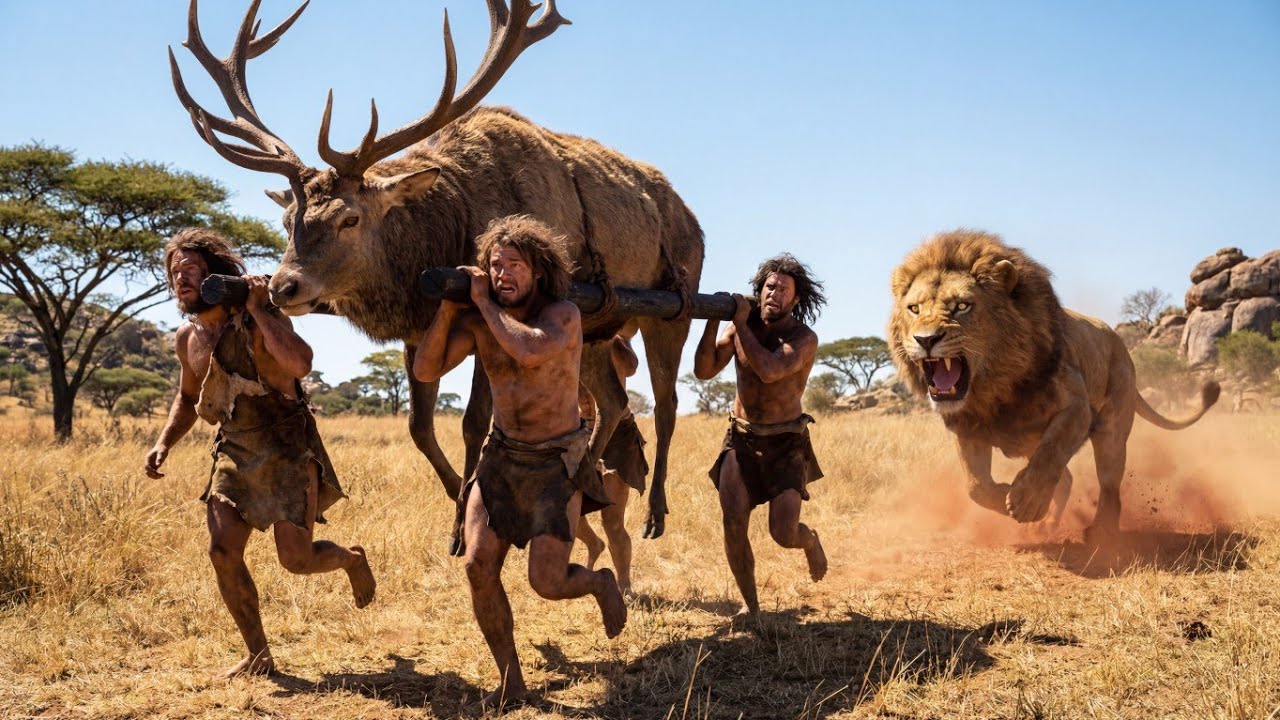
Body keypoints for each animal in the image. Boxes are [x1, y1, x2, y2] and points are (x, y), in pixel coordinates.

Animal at [888, 230, 1220, 544]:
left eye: (961, 306)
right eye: (914, 309)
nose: (926, 340)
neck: (993, 391)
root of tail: (1121, 346)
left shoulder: (1076, 408)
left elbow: (1051, 453)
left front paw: (1026, 502)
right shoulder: (967, 428)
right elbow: (975, 486)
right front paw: (1012, 498)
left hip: (1112, 430)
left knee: (1109, 484)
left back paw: (1101, 531)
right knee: (1068, 478)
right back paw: (1045, 525)